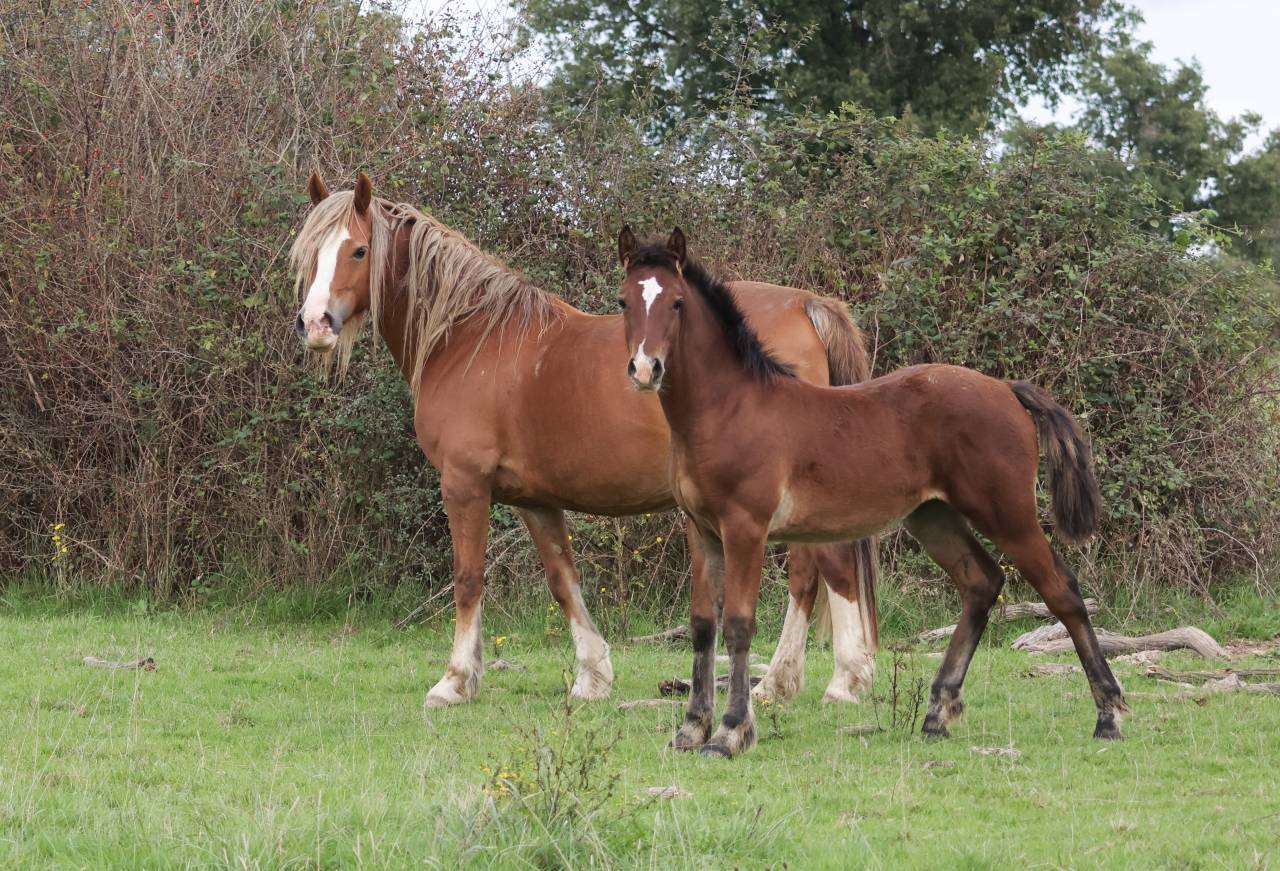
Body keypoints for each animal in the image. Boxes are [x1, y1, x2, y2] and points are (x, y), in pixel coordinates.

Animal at [289, 172, 881, 708]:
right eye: (311, 252)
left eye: (359, 249)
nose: (315, 324)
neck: (471, 338)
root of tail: (807, 305)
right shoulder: (535, 500)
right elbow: (562, 579)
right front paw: (592, 676)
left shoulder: (464, 484)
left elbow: (469, 578)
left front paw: (454, 682)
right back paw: (786, 682)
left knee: (823, 569)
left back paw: (834, 681)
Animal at [616, 227, 1128, 758]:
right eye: (623, 301)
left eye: (676, 303)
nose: (645, 370)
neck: (731, 408)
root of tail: (1007, 389)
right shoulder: (701, 530)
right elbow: (702, 625)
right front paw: (690, 729)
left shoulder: (745, 529)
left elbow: (738, 624)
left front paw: (730, 732)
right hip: (934, 516)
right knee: (982, 582)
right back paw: (937, 713)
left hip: (1007, 513)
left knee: (1061, 591)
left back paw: (1108, 716)